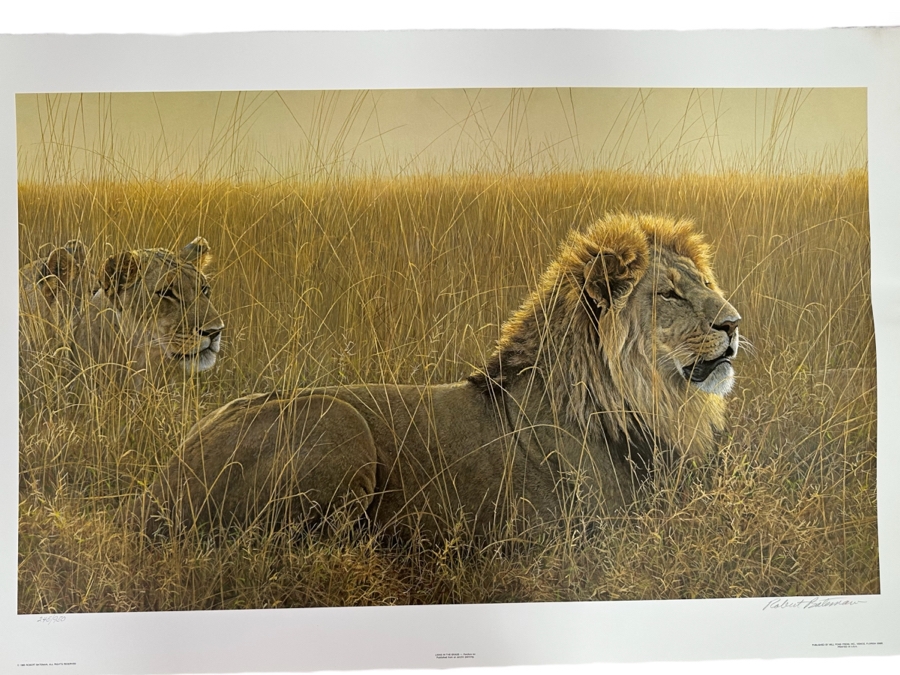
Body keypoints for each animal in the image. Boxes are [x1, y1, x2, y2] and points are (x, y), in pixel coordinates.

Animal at [142, 214, 741, 541]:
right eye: (669, 294)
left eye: (705, 282)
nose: (733, 324)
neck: (648, 402)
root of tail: (157, 491)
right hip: (340, 423)